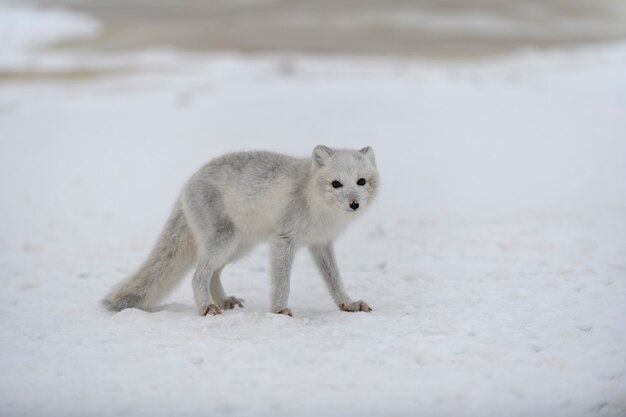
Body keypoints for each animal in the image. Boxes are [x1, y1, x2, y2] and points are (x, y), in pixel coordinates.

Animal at [103, 145, 376, 316]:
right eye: (336, 184)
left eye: (361, 182)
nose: (354, 204)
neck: (314, 201)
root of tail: (187, 183)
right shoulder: (284, 240)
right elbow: (282, 283)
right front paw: (279, 311)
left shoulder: (321, 243)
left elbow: (335, 281)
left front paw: (348, 304)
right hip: (223, 241)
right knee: (198, 275)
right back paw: (207, 307)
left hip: (238, 247)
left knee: (213, 274)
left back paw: (224, 301)